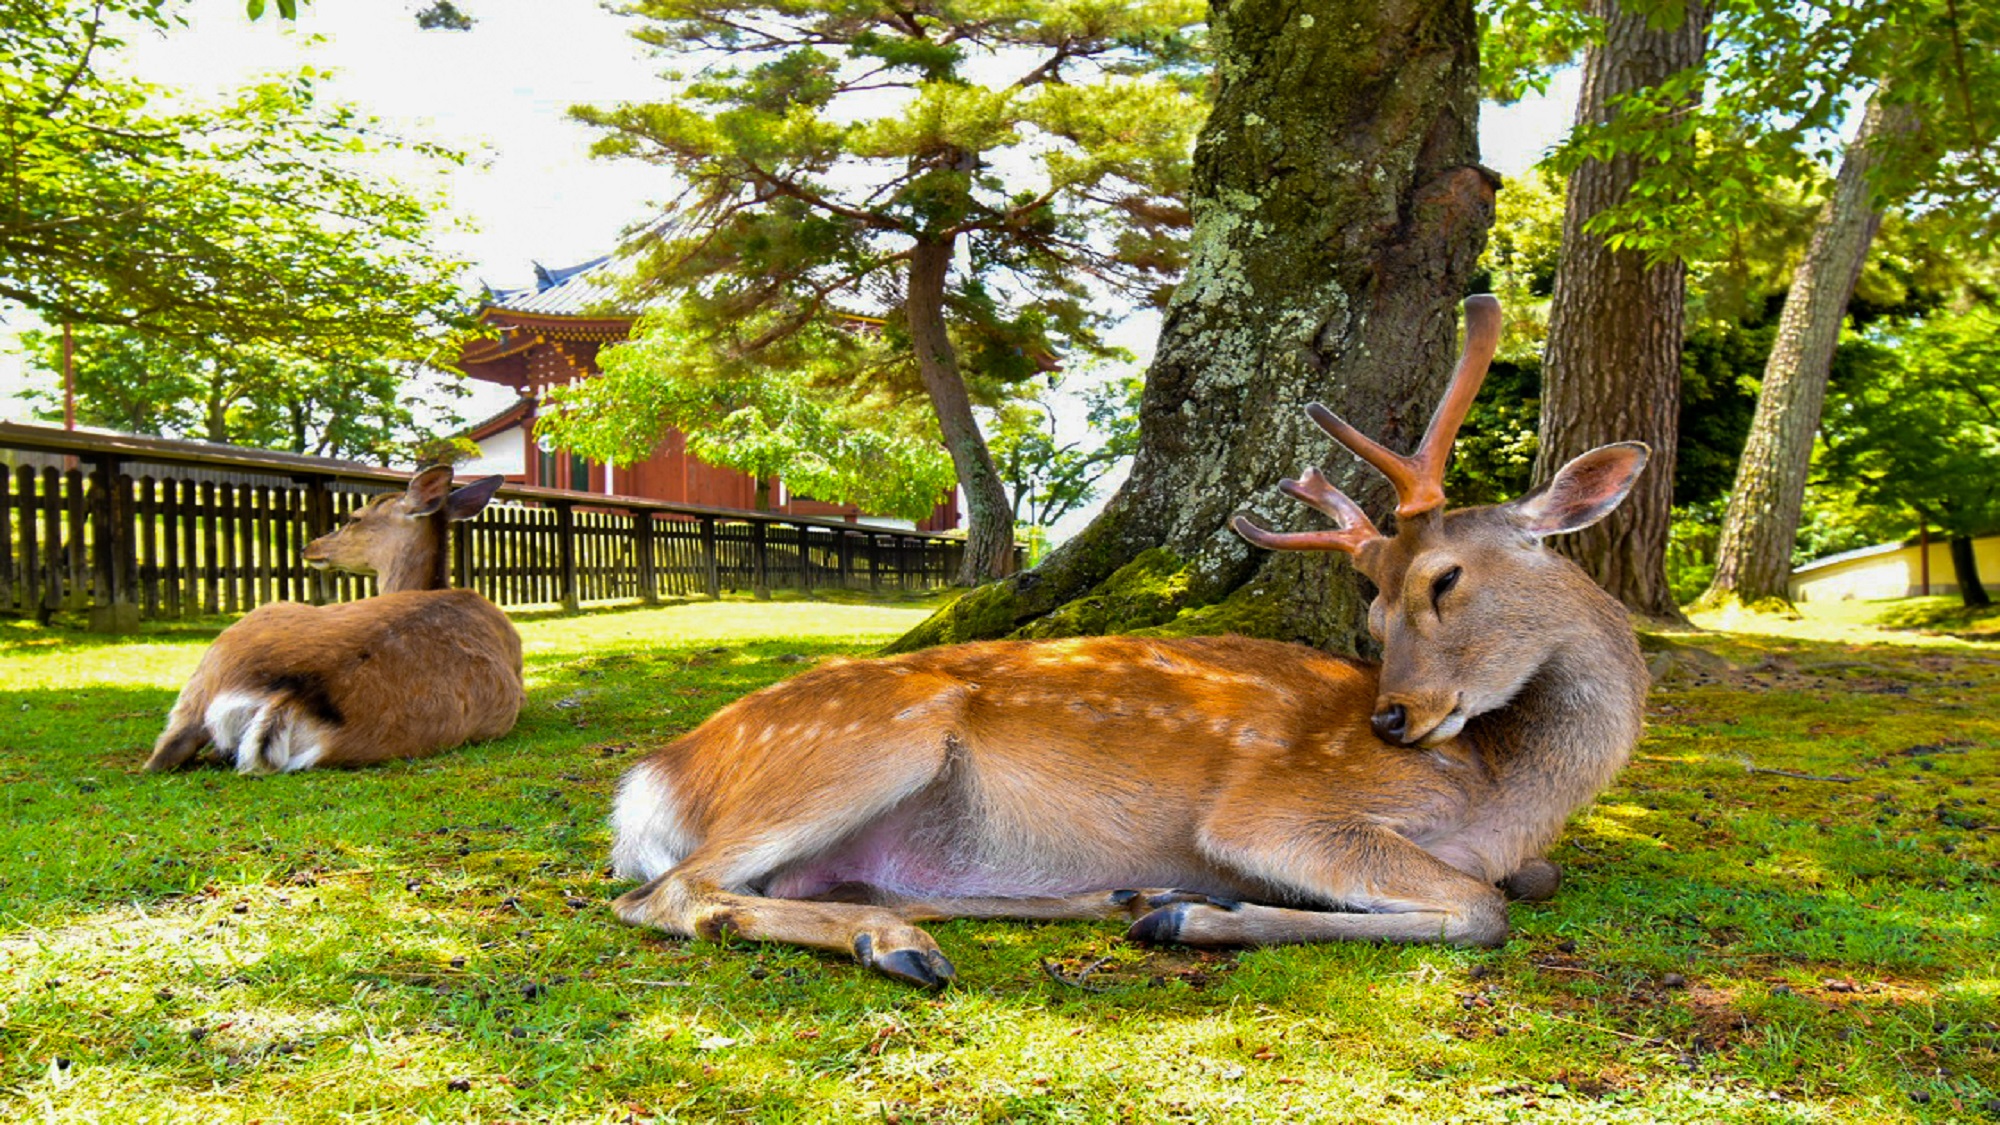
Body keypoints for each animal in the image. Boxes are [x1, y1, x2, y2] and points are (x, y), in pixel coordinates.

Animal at [600, 296, 1648, 980]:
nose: (1392, 719)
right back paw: (914, 946)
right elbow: (1484, 907)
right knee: (661, 895)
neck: (1501, 795)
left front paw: (1186, 908)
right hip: (861, 743)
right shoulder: (1277, 810)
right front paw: (1203, 916)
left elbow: (1526, 881)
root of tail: (651, 780)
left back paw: (1108, 899)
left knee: (854, 884)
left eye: (1440, 579)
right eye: (1378, 609)